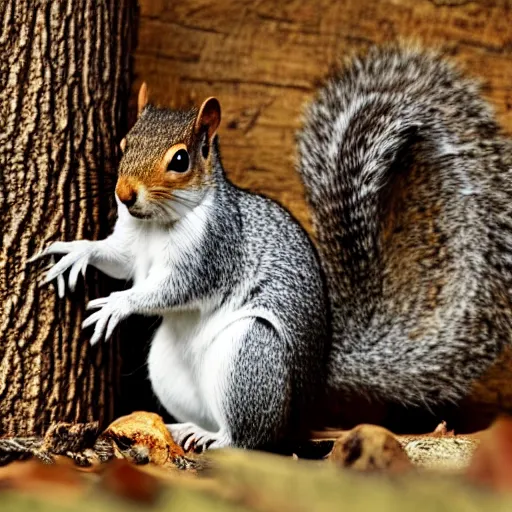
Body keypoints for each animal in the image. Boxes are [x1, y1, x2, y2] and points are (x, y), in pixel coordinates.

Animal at [33, 45, 512, 452]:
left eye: (180, 160)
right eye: (124, 143)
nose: (124, 194)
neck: (157, 224)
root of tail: (309, 390)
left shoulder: (215, 249)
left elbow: (172, 289)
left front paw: (119, 303)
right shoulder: (131, 243)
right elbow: (116, 259)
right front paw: (76, 252)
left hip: (252, 356)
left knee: (253, 437)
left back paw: (217, 438)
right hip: (167, 367)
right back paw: (186, 427)